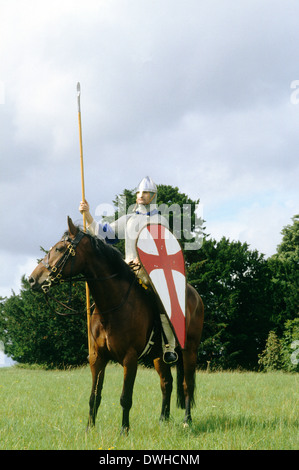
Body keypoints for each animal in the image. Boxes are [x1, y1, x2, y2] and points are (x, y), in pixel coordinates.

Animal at [29, 217, 205, 434]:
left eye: (60, 249)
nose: (32, 279)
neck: (112, 306)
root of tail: (195, 295)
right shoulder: (97, 357)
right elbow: (94, 397)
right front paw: (89, 429)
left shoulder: (130, 359)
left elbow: (125, 398)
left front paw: (124, 431)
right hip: (159, 356)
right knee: (167, 383)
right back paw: (163, 419)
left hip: (190, 350)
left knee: (188, 384)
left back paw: (187, 420)